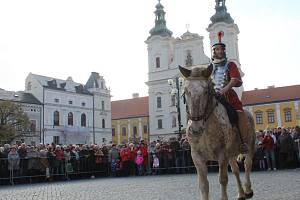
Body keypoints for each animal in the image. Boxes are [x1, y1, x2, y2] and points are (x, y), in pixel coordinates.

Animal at [179, 64, 254, 200]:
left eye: (205, 91)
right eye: (186, 91)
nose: (195, 128)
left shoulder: (222, 154)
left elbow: (223, 179)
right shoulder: (197, 157)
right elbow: (203, 185)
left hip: (250, 145)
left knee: (247, 164)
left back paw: (247, 190)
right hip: (232, 153)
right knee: (235, 170)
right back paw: (241, 194)